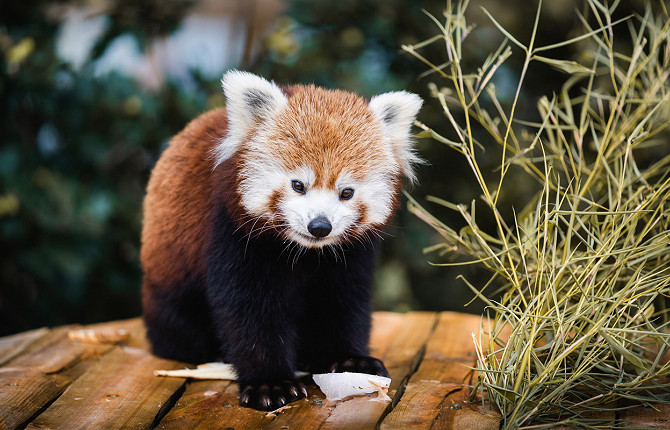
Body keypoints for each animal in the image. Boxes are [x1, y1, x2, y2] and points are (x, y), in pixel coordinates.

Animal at [141, 70, 422, 410]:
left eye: (346, 192)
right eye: (298, 185)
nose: (320, 226)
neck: (306, 252)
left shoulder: (350, 255)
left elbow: (343, 302)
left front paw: (350, 361)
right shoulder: (234, 237)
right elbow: (250, 312)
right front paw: (270, 383)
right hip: (170, 283)